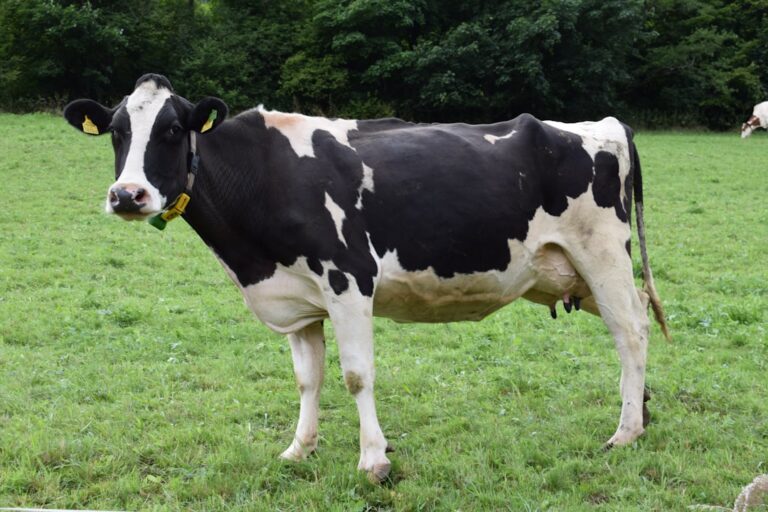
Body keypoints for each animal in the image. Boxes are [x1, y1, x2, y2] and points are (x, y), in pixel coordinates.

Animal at [63, 74, 669, 483]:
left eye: (171, 129)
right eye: (116, 132)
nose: (127, 195)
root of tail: (604, 124)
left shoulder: (348, 280)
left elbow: (356, 375)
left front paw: (374, 460)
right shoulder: (298, 300)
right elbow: (307, 379)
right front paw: (299, 449)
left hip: (602, 255)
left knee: (631, 332)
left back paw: (624, 433)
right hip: (573, 274)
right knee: (637, 319)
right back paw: (641, 412)